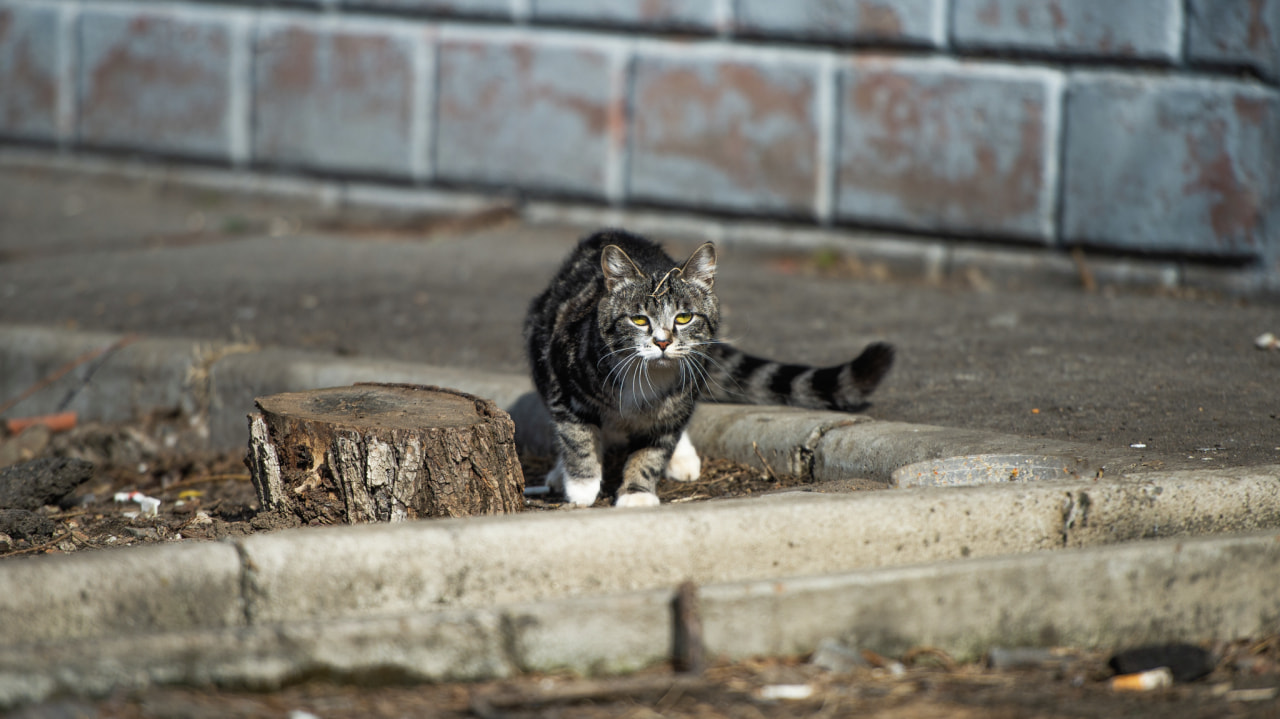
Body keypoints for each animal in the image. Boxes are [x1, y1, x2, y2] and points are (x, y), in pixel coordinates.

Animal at [524, 227, 896, 504]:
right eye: (639, 319)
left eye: (684, 317)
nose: (662, 342)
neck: (648, 376)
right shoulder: (563, 381)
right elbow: (576, 435)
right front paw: (582, 487)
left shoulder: (681, 392)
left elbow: (654, 448)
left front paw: (637, 492)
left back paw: (681, 456)